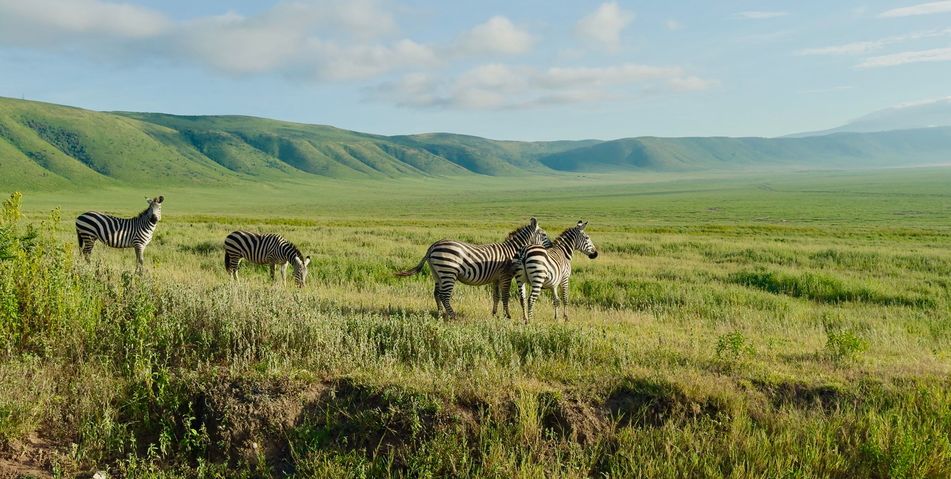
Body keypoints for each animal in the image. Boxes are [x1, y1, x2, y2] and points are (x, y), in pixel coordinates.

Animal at [396, 218, 552, 319]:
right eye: (544, 234)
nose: (551, 246)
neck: (512, 251)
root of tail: (433, 245)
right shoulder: (505, 276)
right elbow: (506, 296)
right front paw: (507, 315)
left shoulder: (496, 278)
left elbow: (496, 296)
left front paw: (494, 314)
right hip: (448, 272)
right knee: (444, 295)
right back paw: (453, 316)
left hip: (437, 274)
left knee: (436, 294)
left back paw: (440, 315)